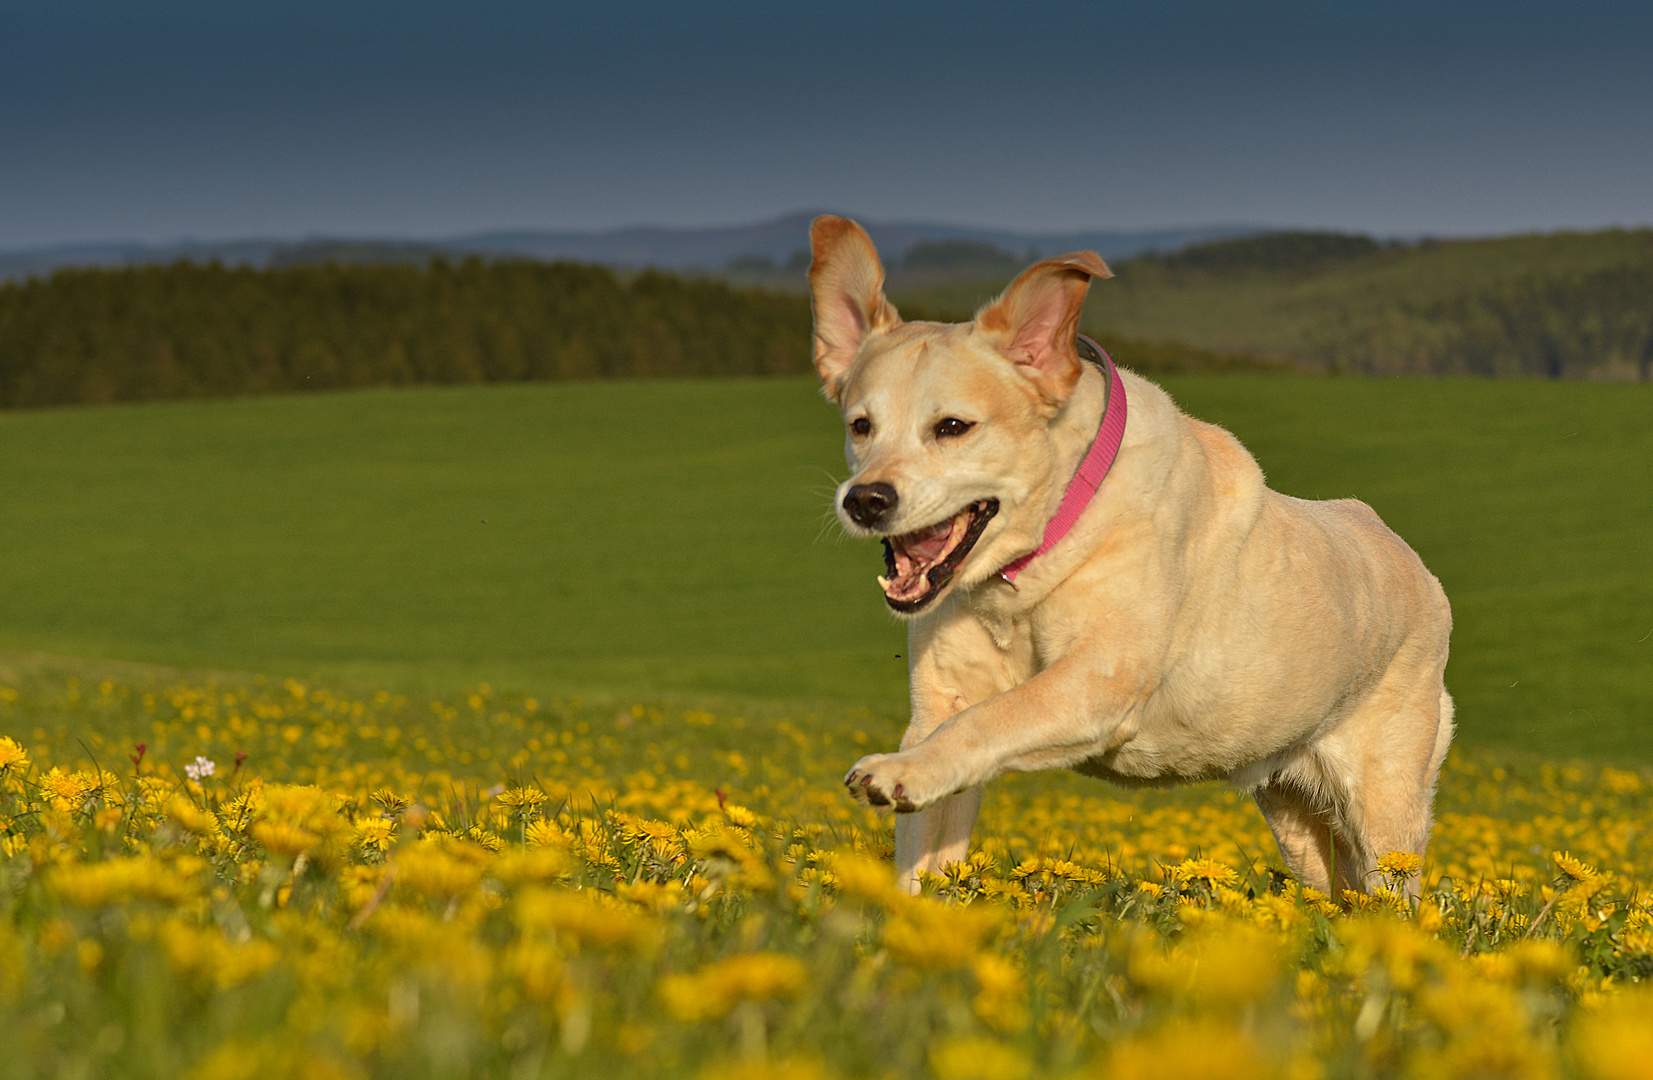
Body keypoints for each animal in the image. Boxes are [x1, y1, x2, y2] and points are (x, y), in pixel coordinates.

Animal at [806, 215, 1454, 899]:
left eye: (953, 427)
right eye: (860, 425)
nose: (865, 500)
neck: (1036, 557)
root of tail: (1413, 564)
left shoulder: (1095, 682)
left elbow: (990, 719)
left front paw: (895, 772)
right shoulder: (940, 701)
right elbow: (923, 855)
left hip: (1384, 812)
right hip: (1296, 818)